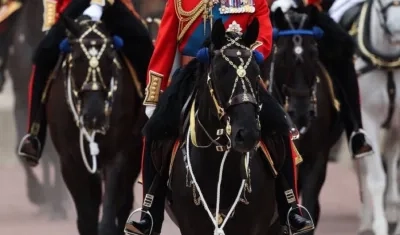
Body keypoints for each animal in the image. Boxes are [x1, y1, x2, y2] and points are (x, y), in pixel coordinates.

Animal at [45, 17, 145, 234]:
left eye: (109, 57)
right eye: (77, 59)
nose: (94, 116)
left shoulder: (117, 154)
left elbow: (108, 215)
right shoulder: (70, 162)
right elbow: (86, 218)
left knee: (123, 202)